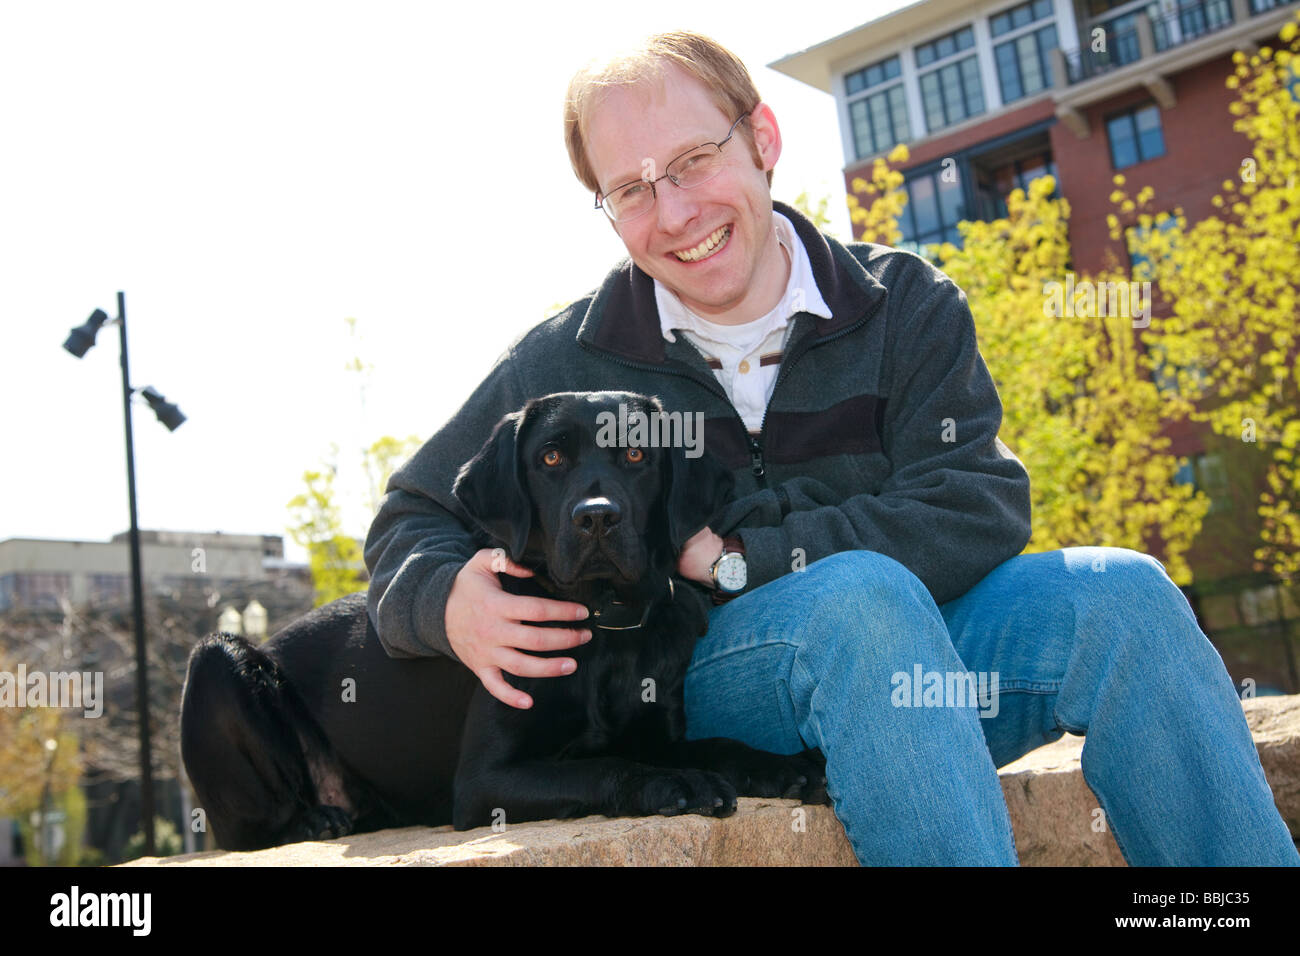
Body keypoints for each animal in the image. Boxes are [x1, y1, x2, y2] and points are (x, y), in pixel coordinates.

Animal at [179, 390, 826, 853]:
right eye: (551, 457)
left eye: (638, 455)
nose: (597, 518)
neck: (606, 628)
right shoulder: (485, 782)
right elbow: (605, 765)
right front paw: (678, 784)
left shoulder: (660, 732)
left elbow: (718, 744)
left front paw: (784, 766)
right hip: (219, 657)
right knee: (246, 830)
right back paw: (315, 819)